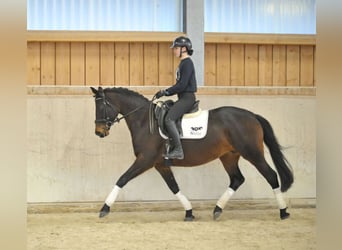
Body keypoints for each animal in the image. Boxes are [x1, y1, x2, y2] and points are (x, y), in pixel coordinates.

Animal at [91, 86, 294, 221]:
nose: (99, 132)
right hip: (229, 156)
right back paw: (217, 210)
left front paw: (104, 208)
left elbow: (122, 179)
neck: (144, 121)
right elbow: (174, 187)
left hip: (253, 153)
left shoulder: (145, 160)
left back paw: (283, 212)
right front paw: (189, 212)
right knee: (237, 179)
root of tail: (252, 116)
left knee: (271, 175)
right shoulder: (161, 164)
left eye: (102, 106)